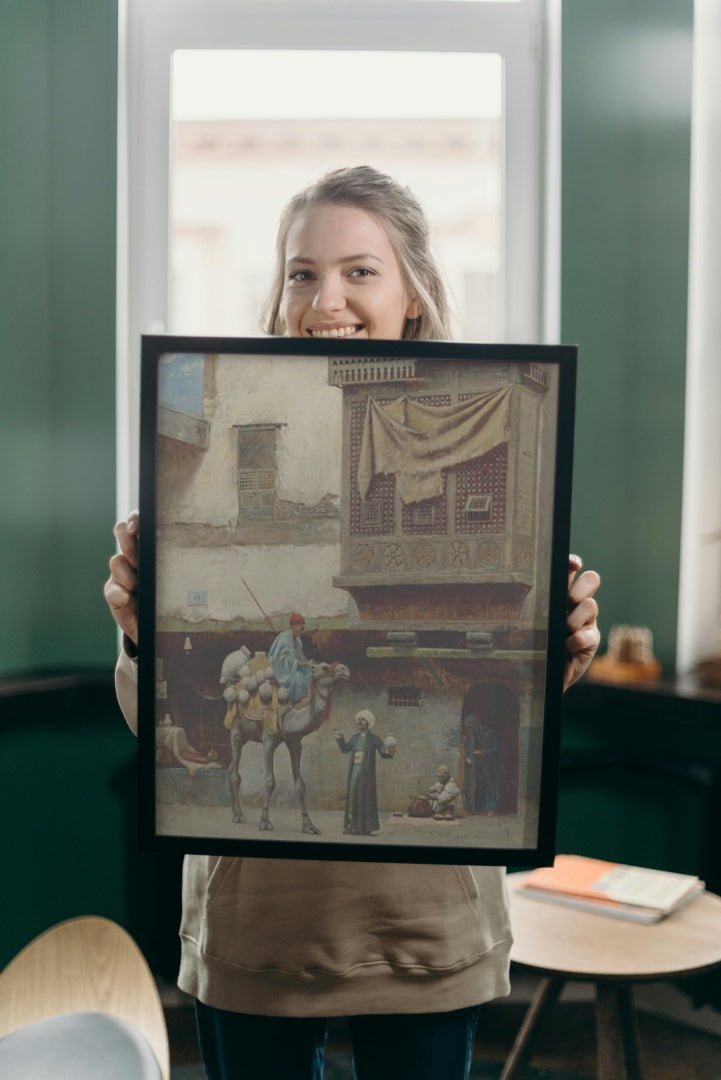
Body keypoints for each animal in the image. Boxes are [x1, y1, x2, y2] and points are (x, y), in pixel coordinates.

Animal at [222, 648, 351, 833]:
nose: (345, 669)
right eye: (325, 667)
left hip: (247, 735)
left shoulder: (294, 742)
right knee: (235, 773)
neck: (290, 715)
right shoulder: (268, 740)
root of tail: (235, 685)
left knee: (231, 767)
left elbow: (300, 786)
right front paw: (265, 822)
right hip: (236, 730)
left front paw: (309, 826)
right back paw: (239, 815)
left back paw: (236, 813)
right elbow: (269, 782)